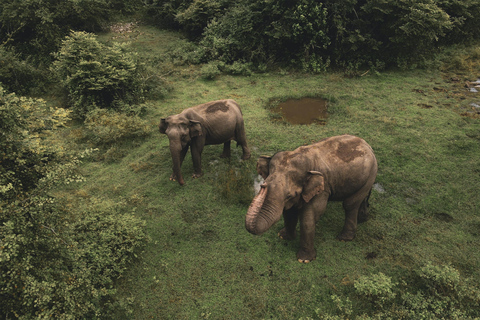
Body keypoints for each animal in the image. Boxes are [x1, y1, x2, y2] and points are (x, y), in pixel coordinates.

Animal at [246, 134, 376, 262]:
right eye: (264, 182)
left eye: (289, 195)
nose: (263, 186)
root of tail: (368, 145)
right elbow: (289, 212)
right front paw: (283, 236)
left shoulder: (322, 189)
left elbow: (310, 216)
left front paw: (304, 260)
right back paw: (362, 219)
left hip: (370, 174)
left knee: (350, 204)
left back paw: (344, 238)